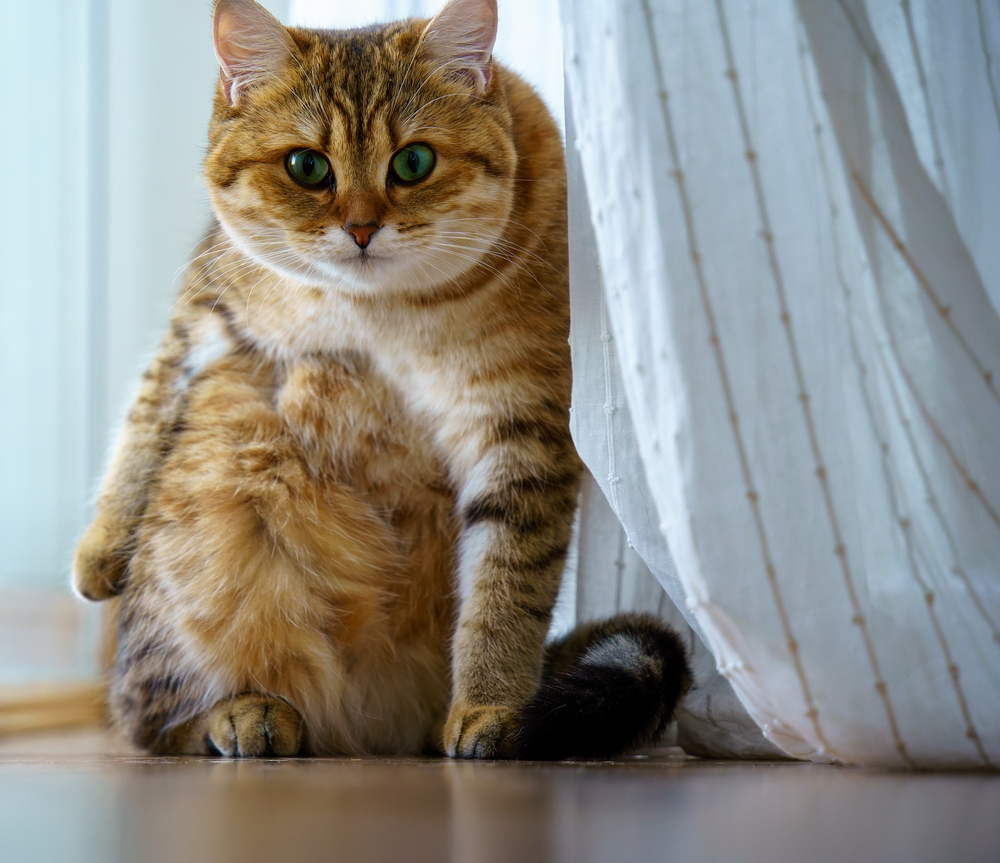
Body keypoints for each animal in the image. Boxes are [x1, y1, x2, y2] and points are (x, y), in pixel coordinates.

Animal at [70, 0, 692, 756]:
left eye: (413, 161)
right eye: (307, 166)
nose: (362, 227)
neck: (381, 313)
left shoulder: (521, 418)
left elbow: (507, 587)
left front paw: (491, 707)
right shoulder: (209, 305)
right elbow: (149, 400)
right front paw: (101, 546)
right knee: (154, 716)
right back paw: (247, 710)